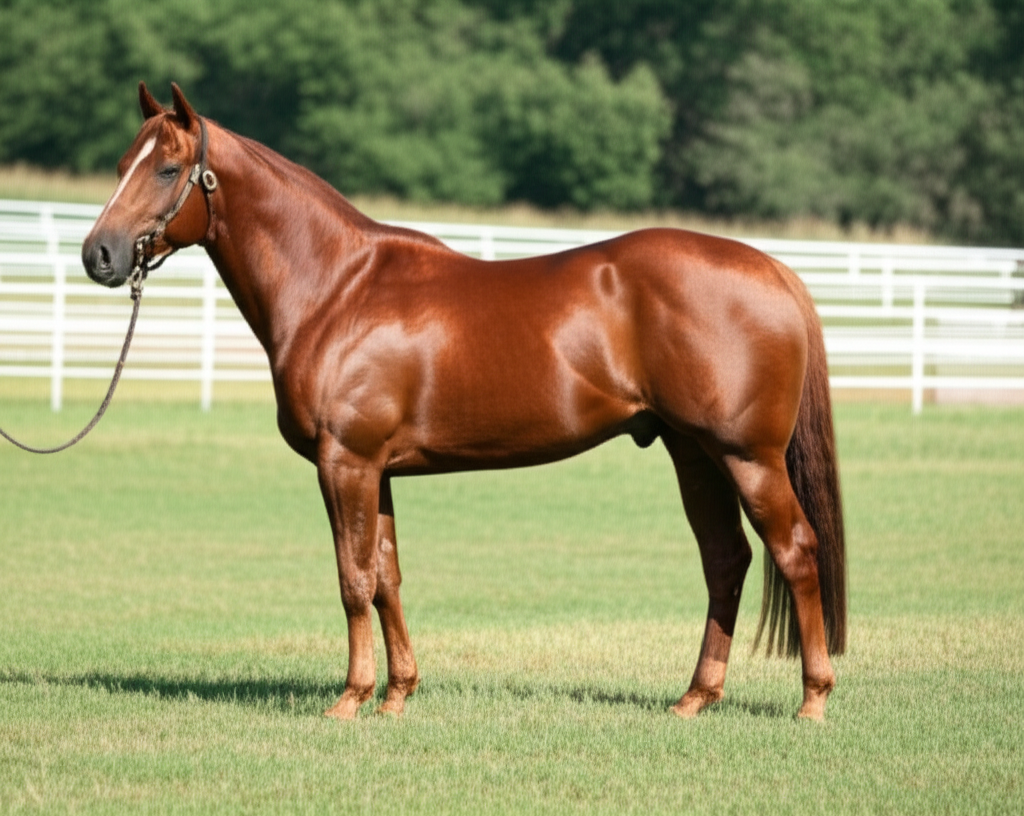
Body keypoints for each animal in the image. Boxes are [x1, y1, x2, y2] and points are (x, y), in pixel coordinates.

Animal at [82, 83, 846, 721]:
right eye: (122, 161)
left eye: (166, 169)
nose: (99, 255)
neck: (337, 288)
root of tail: (775, 271)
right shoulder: (377, 471)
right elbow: (386, 576)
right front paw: (397, 694)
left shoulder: (344, 463)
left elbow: (352, 578)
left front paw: (351, 699)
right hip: (694, 455)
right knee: (726, 560)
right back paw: (695, 698)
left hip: (746, 457)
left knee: (795, 551)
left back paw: (812, 700)